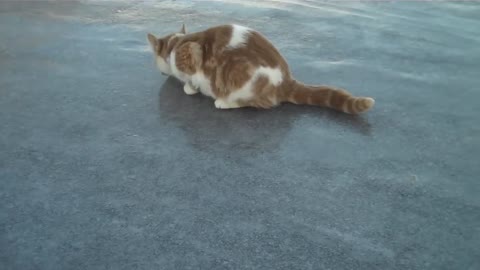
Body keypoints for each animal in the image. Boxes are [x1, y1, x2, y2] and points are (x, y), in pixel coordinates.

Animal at [147, 23, 376, 115]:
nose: (160, 72)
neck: (175, 44)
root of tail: (286, 79)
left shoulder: (191, 54)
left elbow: (191, 78)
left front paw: (189, 87)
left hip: (242, 78)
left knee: (255, 103)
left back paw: (223, 102)